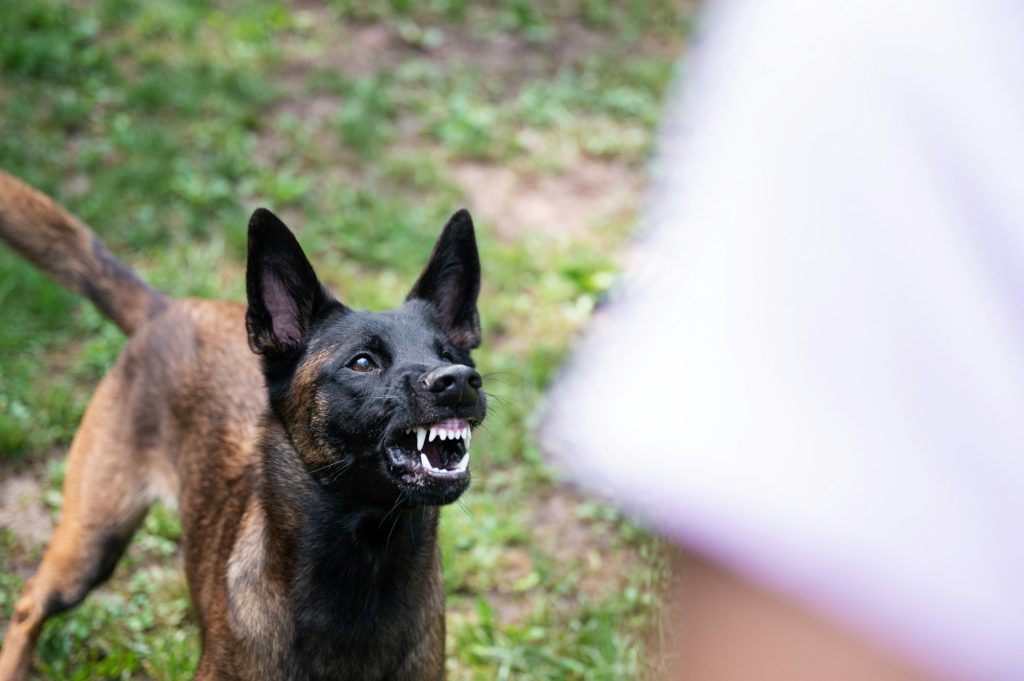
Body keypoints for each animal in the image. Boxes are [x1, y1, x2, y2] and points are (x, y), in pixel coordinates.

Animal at [0, 166, 485, 675]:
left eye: (450, 355)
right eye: (363, 363)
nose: (459, 381)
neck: (367, 564)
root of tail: (165, 308)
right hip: (93, 538)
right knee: (30, 602)